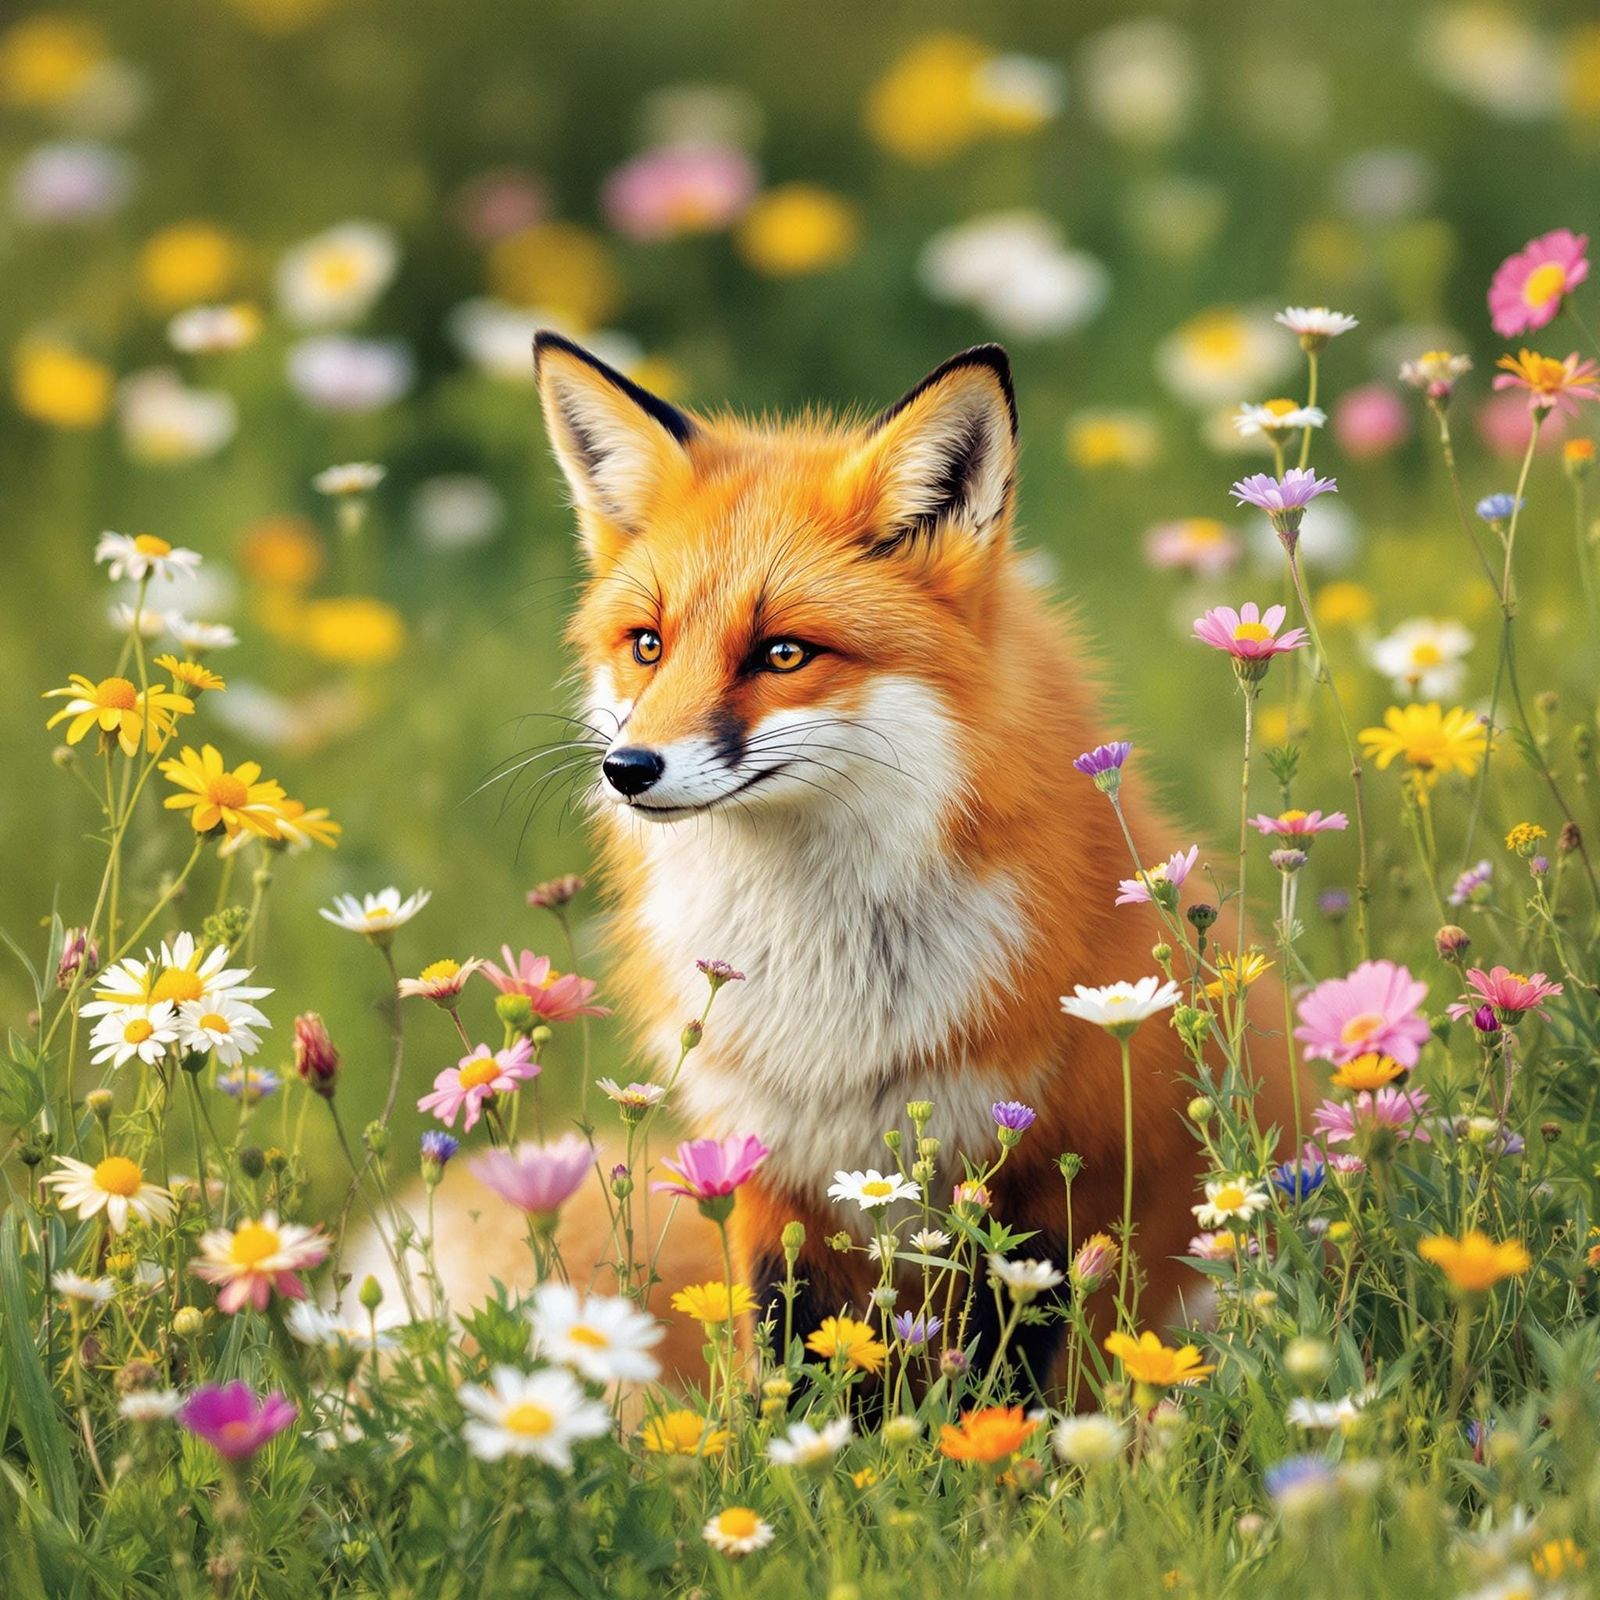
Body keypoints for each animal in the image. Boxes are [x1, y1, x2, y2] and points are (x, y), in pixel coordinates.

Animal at [397, 333, 1293, 1388]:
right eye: (647, 645)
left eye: (783, 654)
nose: (628, 769)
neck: (833, 988)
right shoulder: (767, 1172)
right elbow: (799, 1365)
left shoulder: (1043, 1181)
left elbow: (1012, 1379)